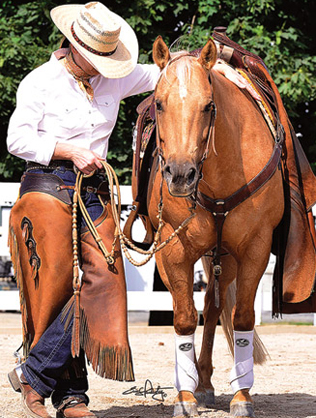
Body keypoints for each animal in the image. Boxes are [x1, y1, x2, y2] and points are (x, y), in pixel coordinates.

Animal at [148, 37, 284, 416]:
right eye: (158, 104)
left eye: (209, 106)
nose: (180, 175)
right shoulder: (173, 252)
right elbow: (183, 318)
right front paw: (184, 398)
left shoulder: (254, 248)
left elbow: (242, 318)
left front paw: (242, 397)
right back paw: (195, 384)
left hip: (226, 258)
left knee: (212, 306)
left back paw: (205, 382)